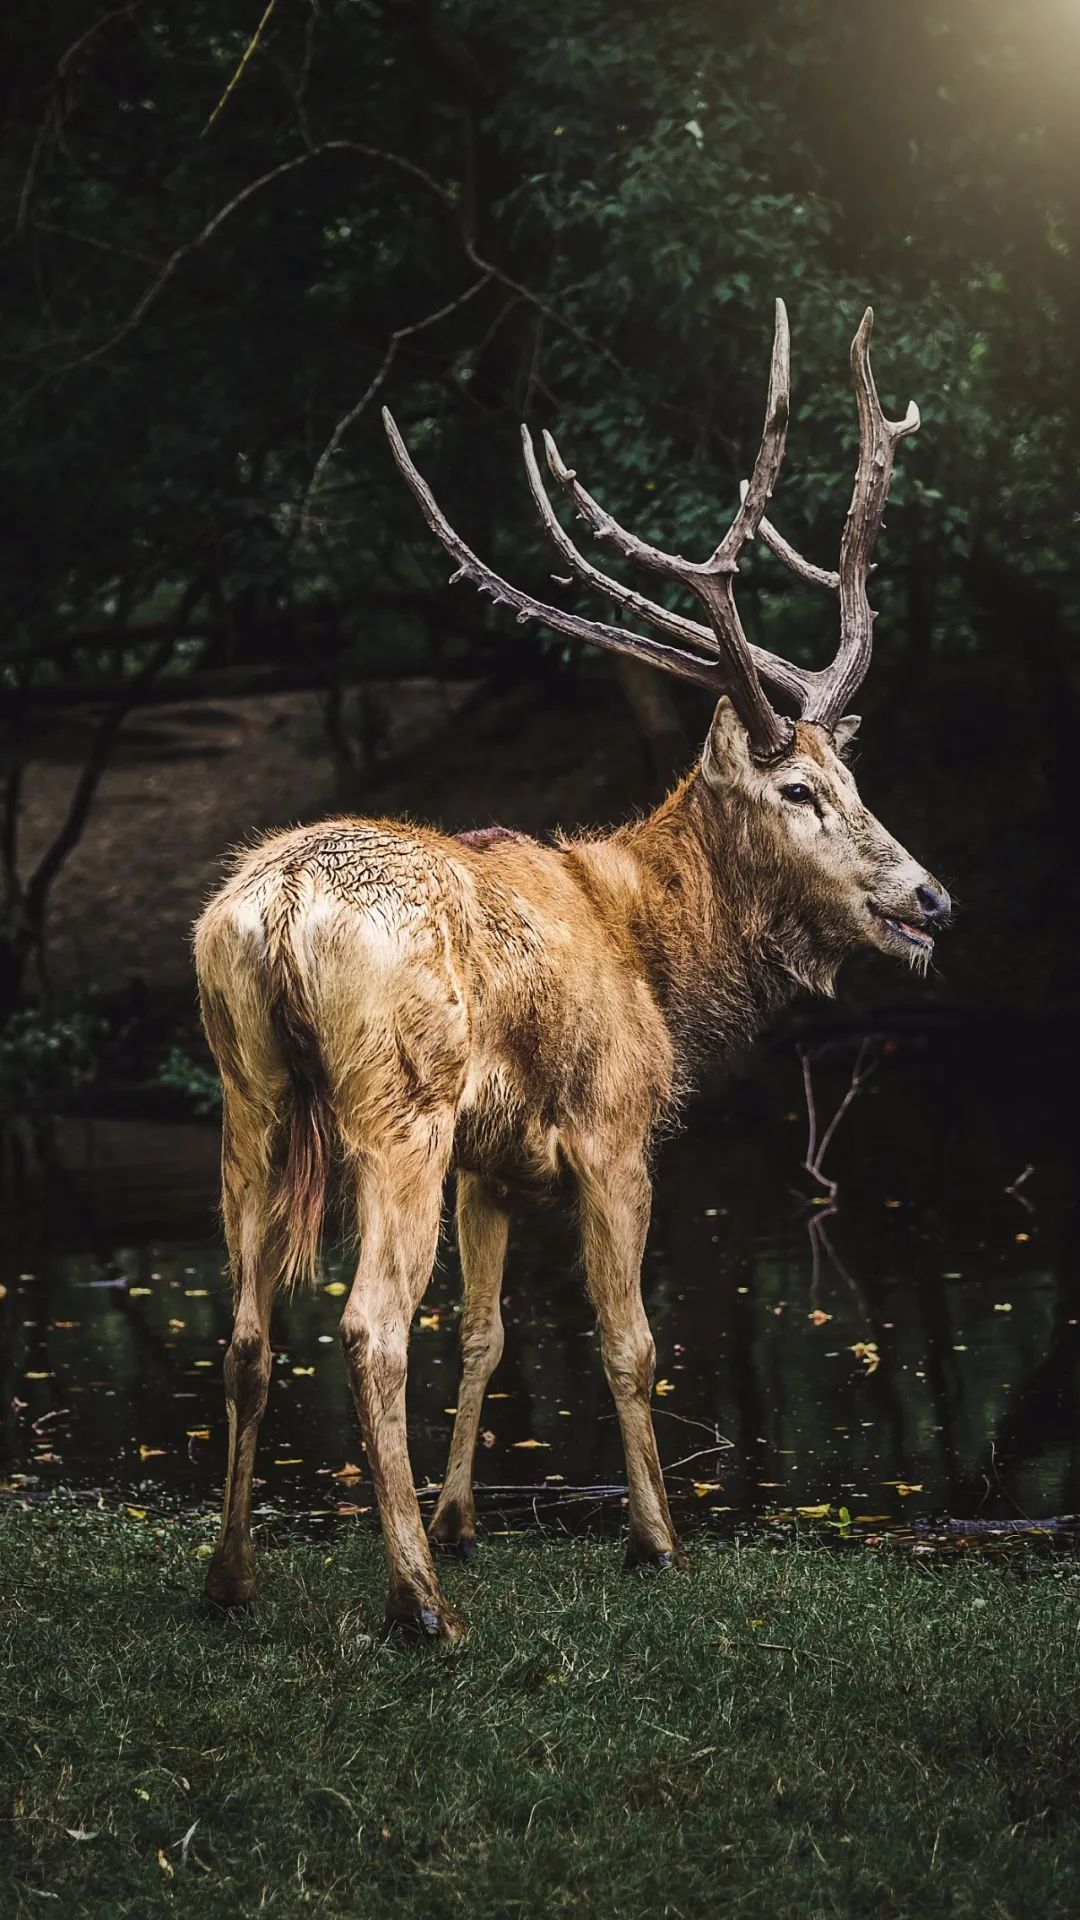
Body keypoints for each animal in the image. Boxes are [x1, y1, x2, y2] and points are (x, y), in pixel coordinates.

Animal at [195, 295, 949, 1635]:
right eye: (800, 791)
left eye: (855, 778)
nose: (932, 899)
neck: (658, 961)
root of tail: (275, 911)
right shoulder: (613, 1124)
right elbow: (629, 1344)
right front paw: (659, 1542)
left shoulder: (495, 1160)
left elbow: (492, 1332)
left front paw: (466, 1518)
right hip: (396, 1106)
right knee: (370, 1327)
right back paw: (419, 1604)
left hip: (249, 1093)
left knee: (243, 1329)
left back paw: (233, 1580)